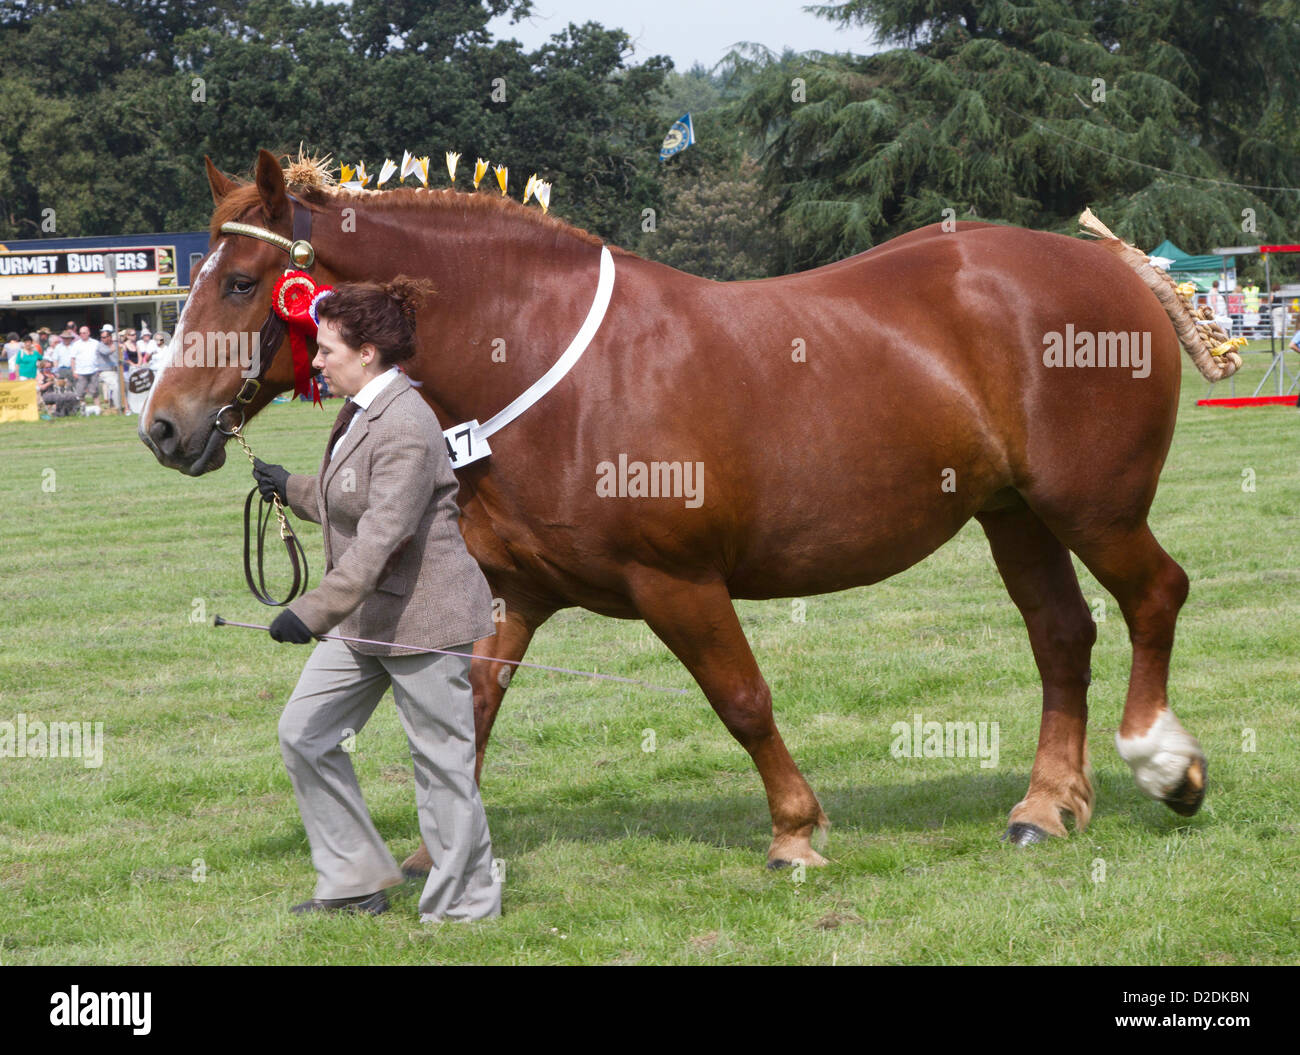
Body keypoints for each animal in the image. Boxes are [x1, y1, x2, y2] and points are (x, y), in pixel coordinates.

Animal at [141, 148, 1234, 872]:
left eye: (244, 282)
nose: (163, 427)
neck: (537, 359)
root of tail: (1114, 265)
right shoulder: (511, 593)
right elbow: (472, 706)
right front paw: (434, 856)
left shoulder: (678, 583)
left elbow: (740, 698)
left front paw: (796, 830)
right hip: (1012, 515)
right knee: (1061, 633)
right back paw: (1046, 804)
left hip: (1092, 509)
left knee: (1156, 596)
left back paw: (1164, 763)